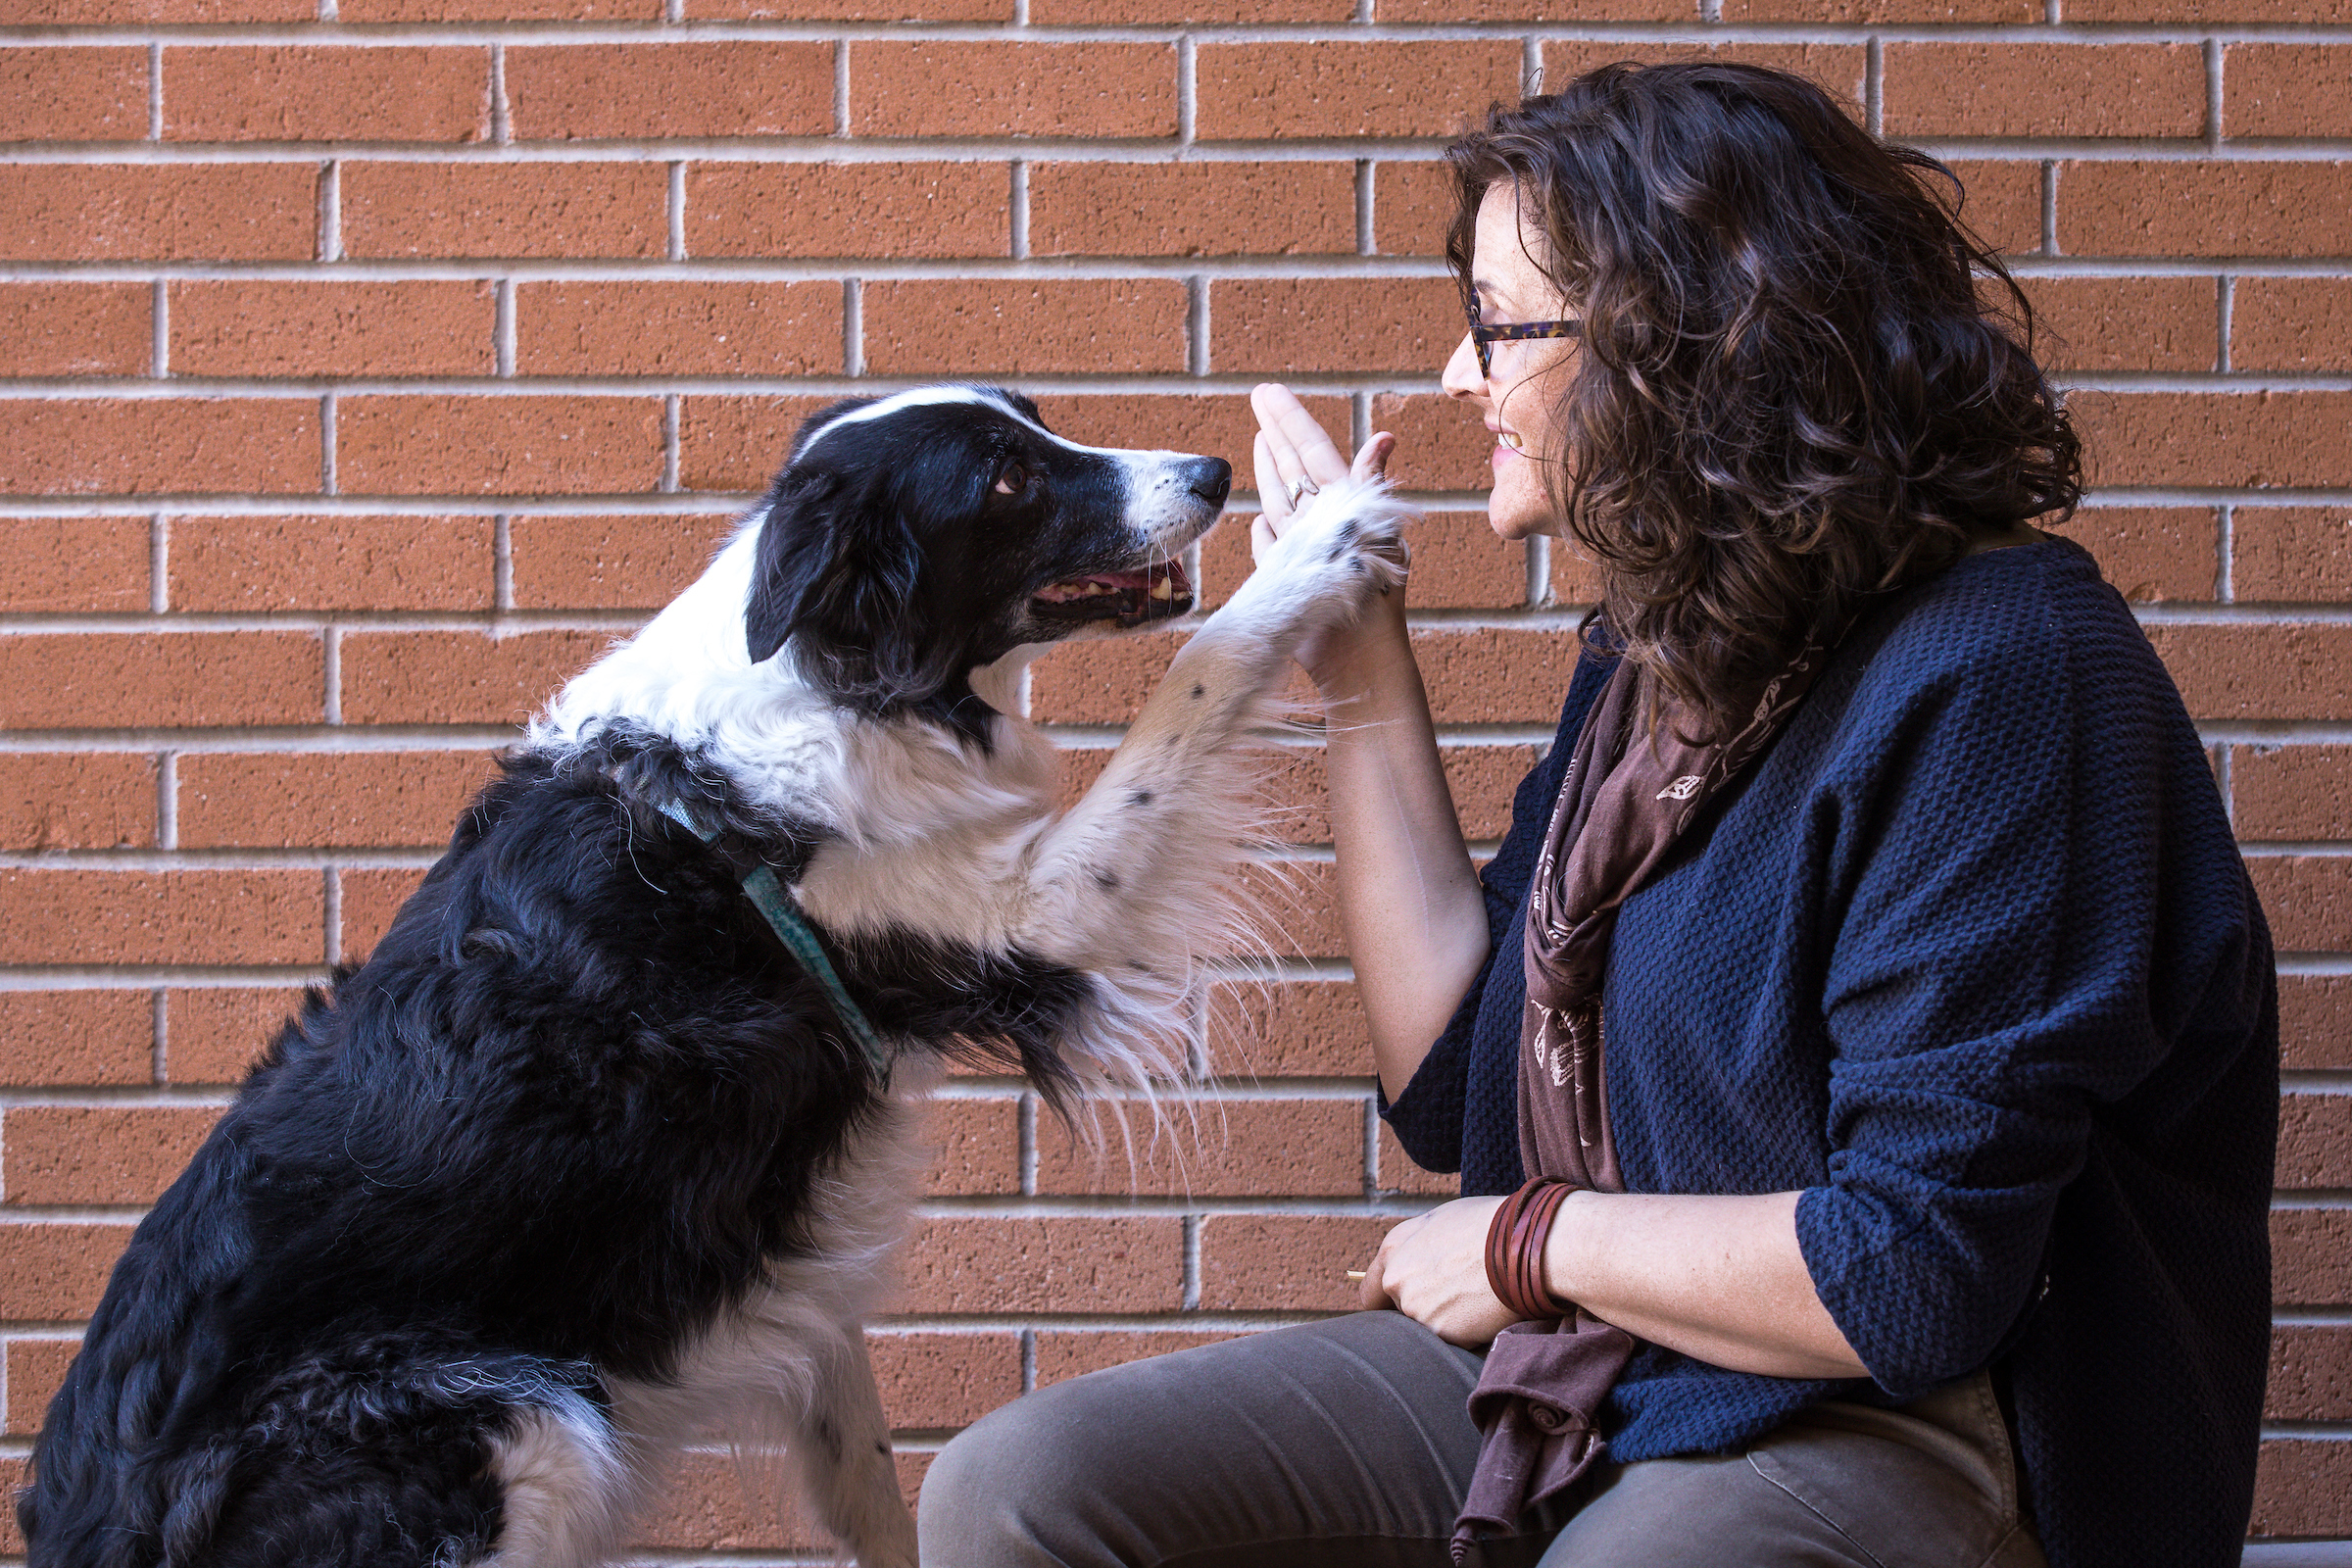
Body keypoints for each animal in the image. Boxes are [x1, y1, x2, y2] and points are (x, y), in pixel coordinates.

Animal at [18, 383, 1401, 1568]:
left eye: (1037, 423)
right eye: (1006, 477)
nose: (1211, 472)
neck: (831, 686)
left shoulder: (794, 1273)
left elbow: (867, 1474)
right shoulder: (1036, 917)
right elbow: (1201, 670)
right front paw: (1317, 540)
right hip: (513, 1423)